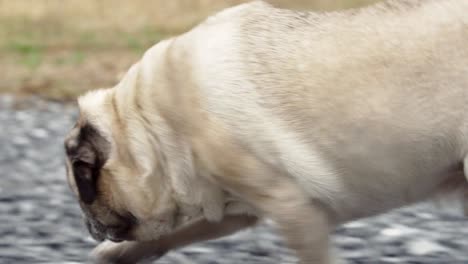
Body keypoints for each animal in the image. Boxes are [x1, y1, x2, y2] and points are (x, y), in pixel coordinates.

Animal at [64, 0, 468, 262]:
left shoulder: (293, 207)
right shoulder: (234, 210)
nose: (87, 224)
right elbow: (169, 236)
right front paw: (112, 254)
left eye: (84, 190)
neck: (149, 124)